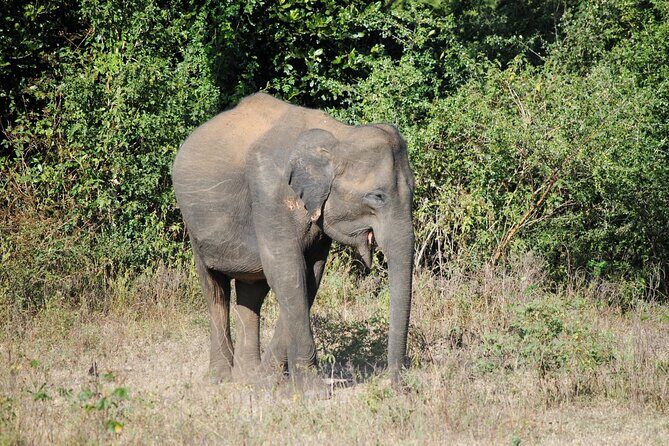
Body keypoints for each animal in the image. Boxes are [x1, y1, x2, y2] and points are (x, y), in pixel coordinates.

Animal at [172, 92, 414, 385]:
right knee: (214, 289)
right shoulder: (270, 193)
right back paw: (220, 378)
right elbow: (287, 272)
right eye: (377, 196)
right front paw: (309, 388)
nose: (396, 383)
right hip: (195, 225)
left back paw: (246, 376)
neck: (337, 134)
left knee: (252, 291)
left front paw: (268, 379)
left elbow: (309, 276)